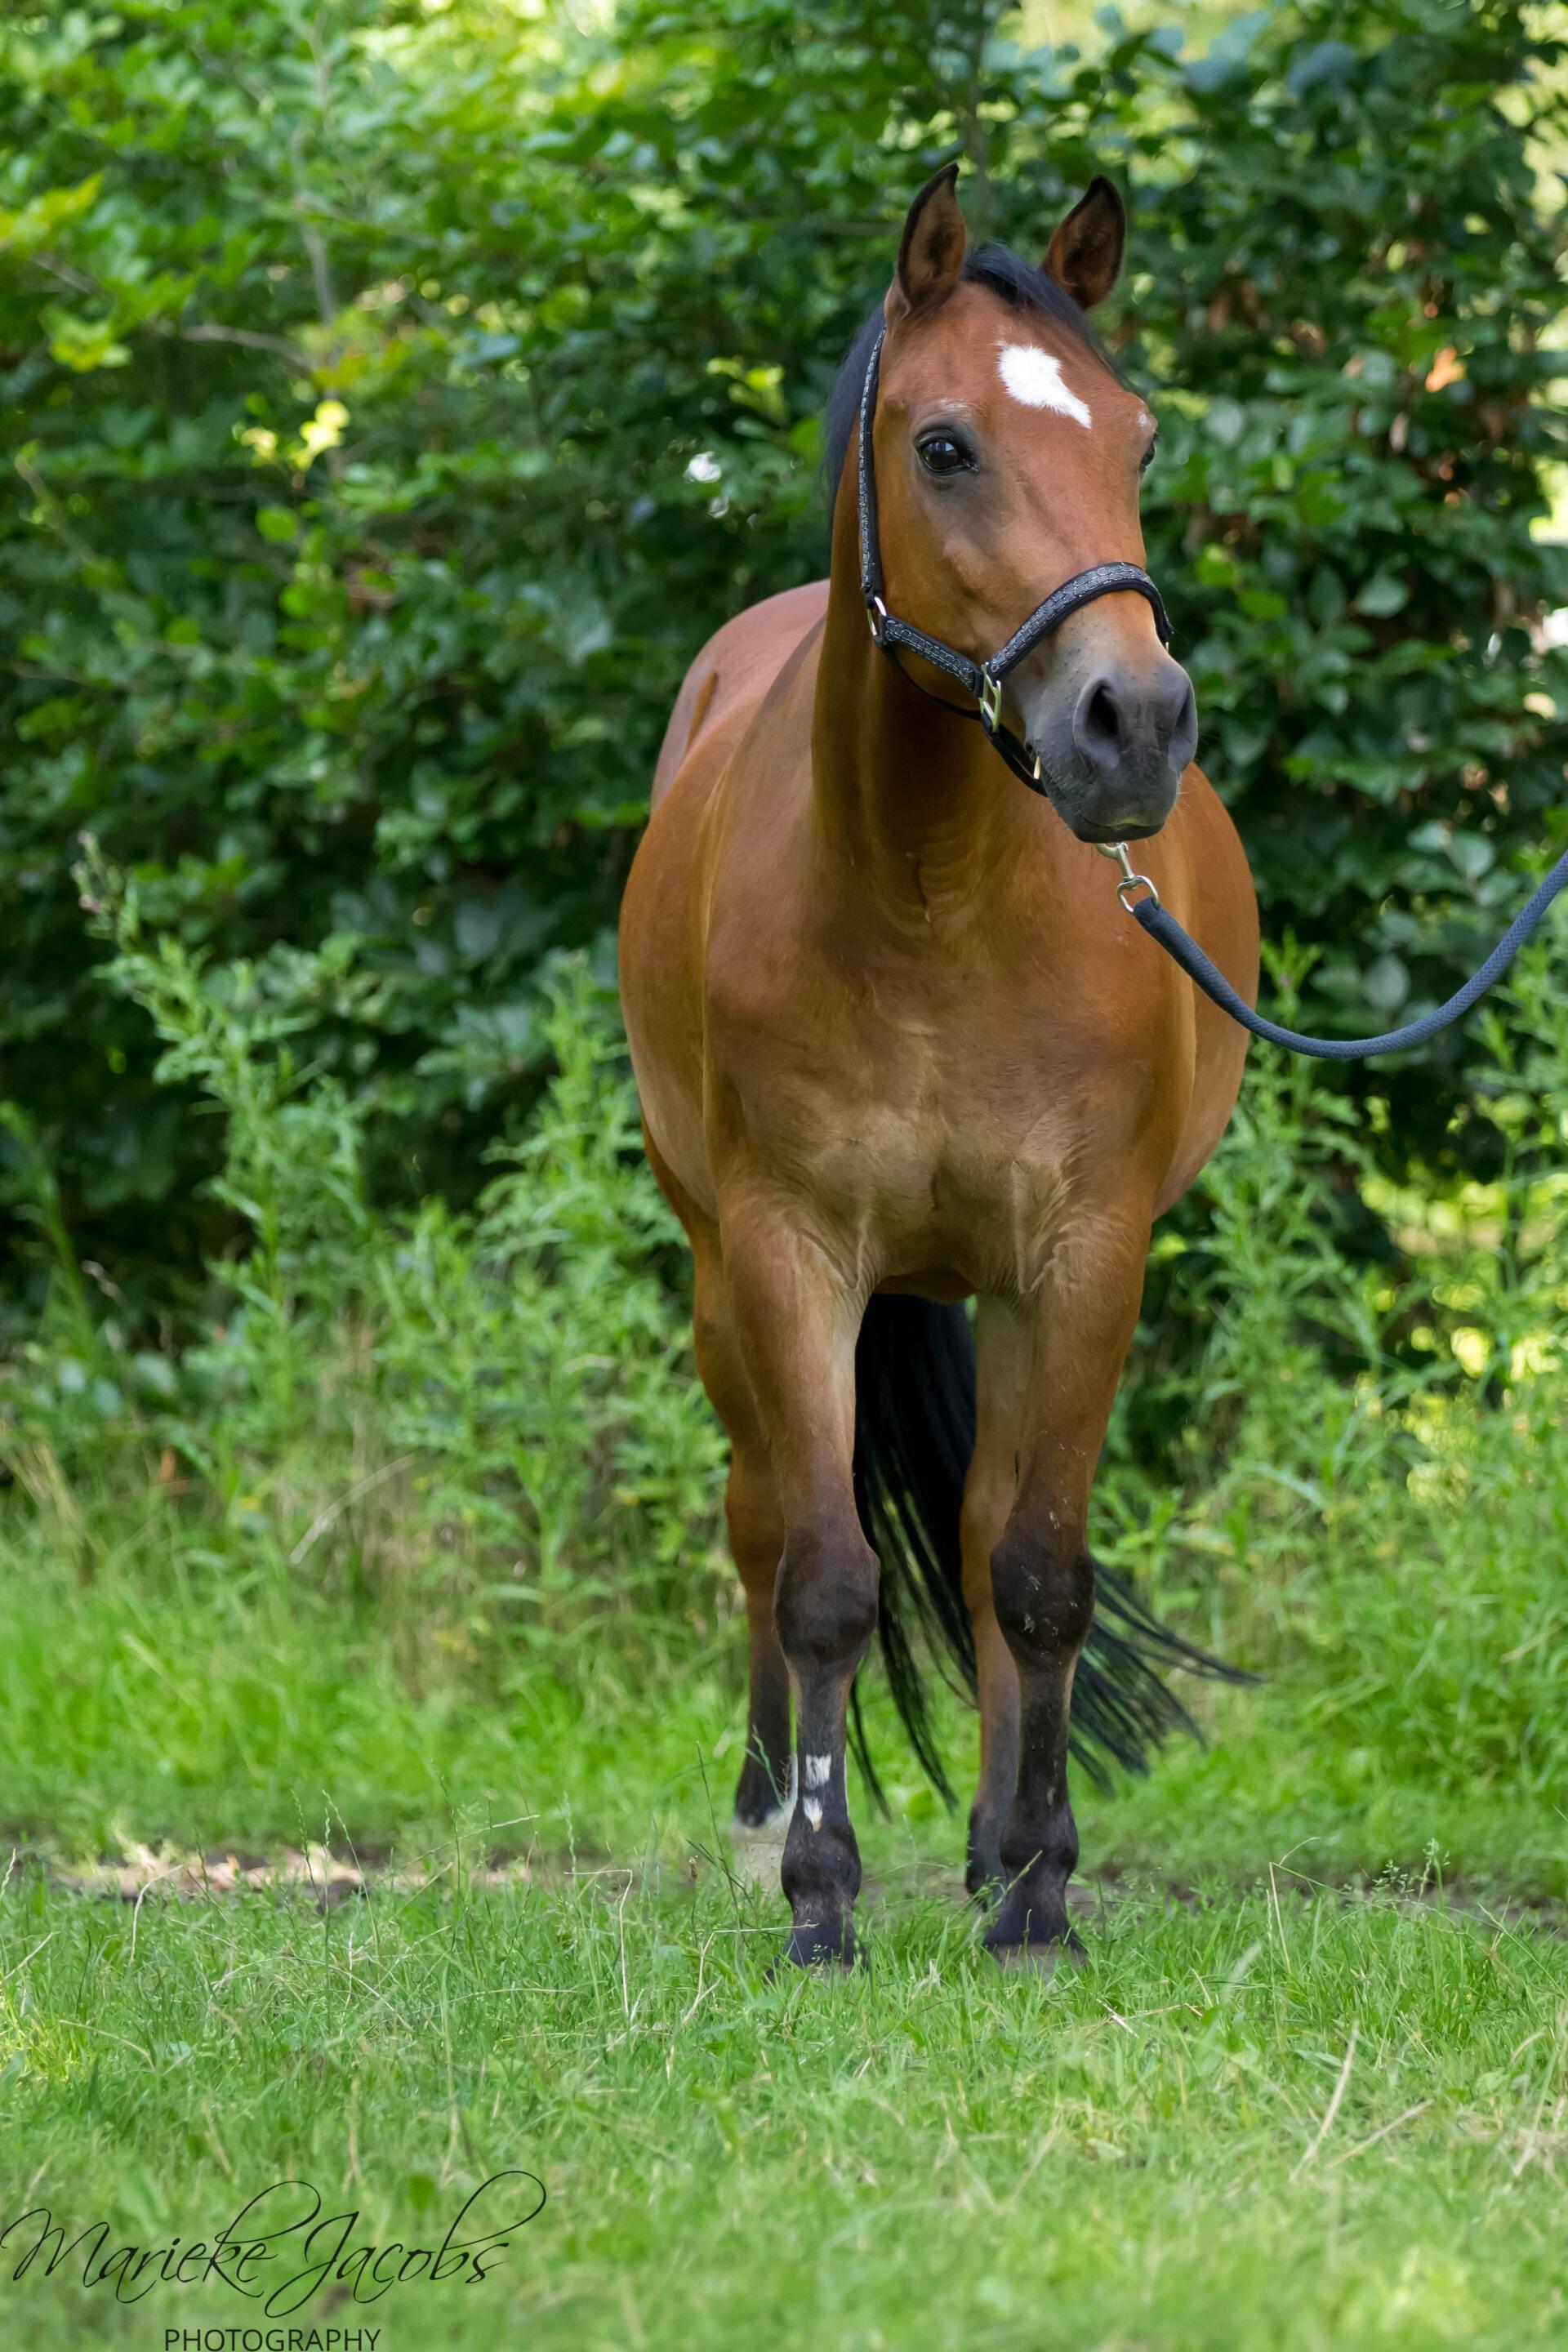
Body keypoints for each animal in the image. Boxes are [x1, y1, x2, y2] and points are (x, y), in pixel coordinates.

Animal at [619, 163, 1259, 1966]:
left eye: (1139, 440)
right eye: (949, 445)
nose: (1134, 724)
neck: (931, 894)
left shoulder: (1086, 1254)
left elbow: (1036, 1572)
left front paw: (1036, 1886)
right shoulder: (790, 1253)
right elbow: (828, 1577)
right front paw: (820, 1896)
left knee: (976, 1544)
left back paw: (985, 1845)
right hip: (719, 1275)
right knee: (764, 1518)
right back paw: (765, 1817)